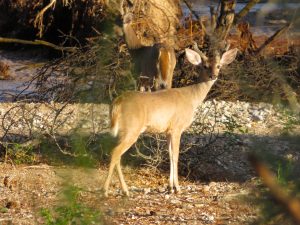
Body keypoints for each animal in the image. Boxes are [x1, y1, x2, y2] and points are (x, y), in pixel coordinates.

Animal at [104, 44, 238, 196]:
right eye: (205, 66)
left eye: (219, 66)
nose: (213, 76)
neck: (191, 98)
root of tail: (117, 102)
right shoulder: (177, 127)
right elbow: (175, 156)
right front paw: (178, 188)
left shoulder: (168, 130)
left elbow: (169, 155)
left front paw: (170, 186)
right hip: (132, 128)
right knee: (115, 152)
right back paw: (106, 190)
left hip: (124, 130)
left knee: (117, 154)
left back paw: (125, 190)